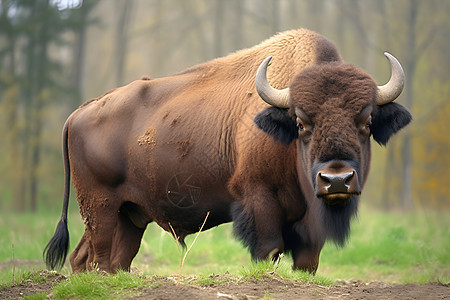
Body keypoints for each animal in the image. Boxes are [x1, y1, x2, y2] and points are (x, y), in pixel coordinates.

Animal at [43, 29, 412, 274]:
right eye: (301, 123)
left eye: (366, 122)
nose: (336, 180)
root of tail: (81, 111)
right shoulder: (259, 200)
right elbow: (268, 250)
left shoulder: (309, 226)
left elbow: (307, 261)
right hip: (100, 207)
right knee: (97, 256)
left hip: (130, 214)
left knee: (103, 258)